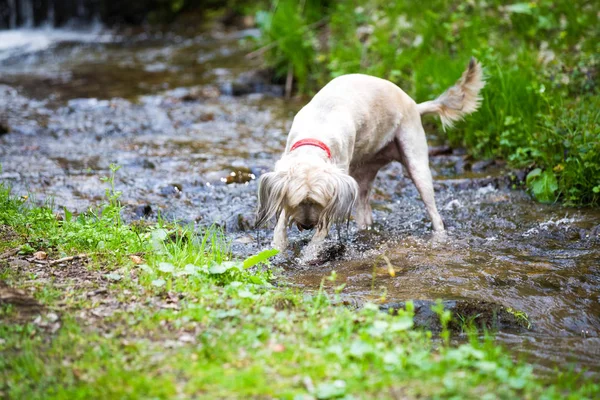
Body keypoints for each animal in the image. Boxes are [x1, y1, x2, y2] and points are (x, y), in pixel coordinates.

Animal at [255, 57, 486, 260]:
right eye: (298, 202)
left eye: (317, 202)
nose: (307, 226)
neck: (315, 136)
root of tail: (415, 104)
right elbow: (280, 226)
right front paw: (276, 250)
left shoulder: (335, 196)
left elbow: (319, 235)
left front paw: (307, 257)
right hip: (363, 173)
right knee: (364, 210)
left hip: (417, 163)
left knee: (433, 211)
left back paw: (439, 237)